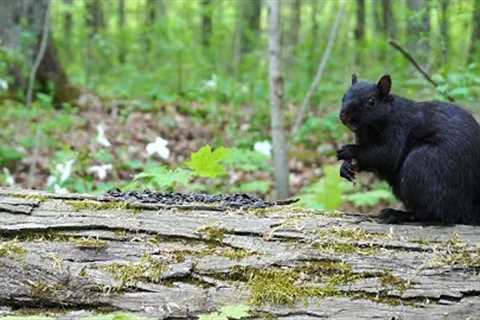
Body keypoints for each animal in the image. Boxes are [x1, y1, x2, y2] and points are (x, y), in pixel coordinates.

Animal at [336, 75, 480, 225]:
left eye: (371, 102)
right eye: (344, 96)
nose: (343, 115)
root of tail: (470, 209)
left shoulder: (398, 130)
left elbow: (384, 156)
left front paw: (349, 150)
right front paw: (346, 167)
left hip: (423, 164)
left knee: (436, 214)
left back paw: (398, 215)